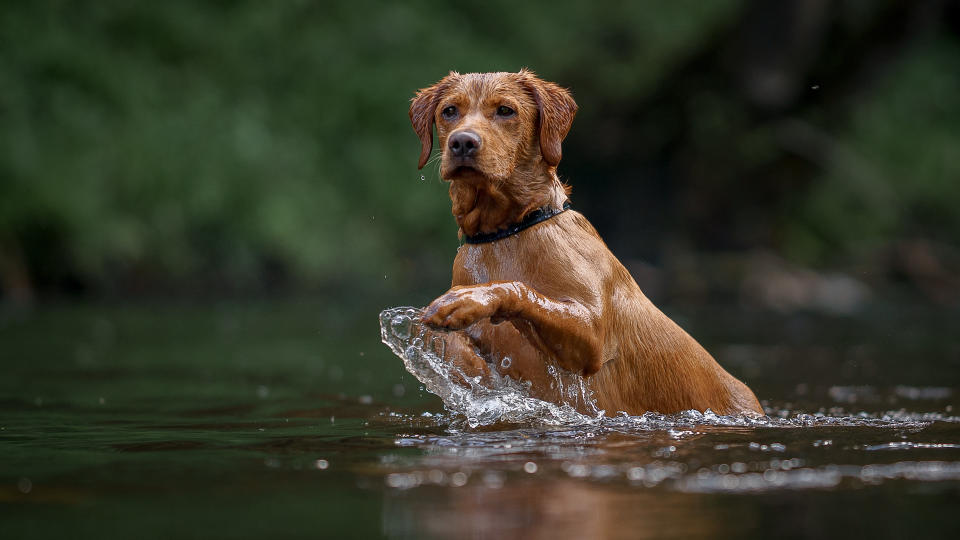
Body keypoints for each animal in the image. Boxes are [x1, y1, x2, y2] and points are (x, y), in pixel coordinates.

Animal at [408, 69, 760, 416]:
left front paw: (467, 300)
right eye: (449, 111)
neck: (506, 234)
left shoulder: (590, 337)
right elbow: (451, 343)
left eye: (506, 110)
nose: (462, 142)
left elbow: (519, 289)